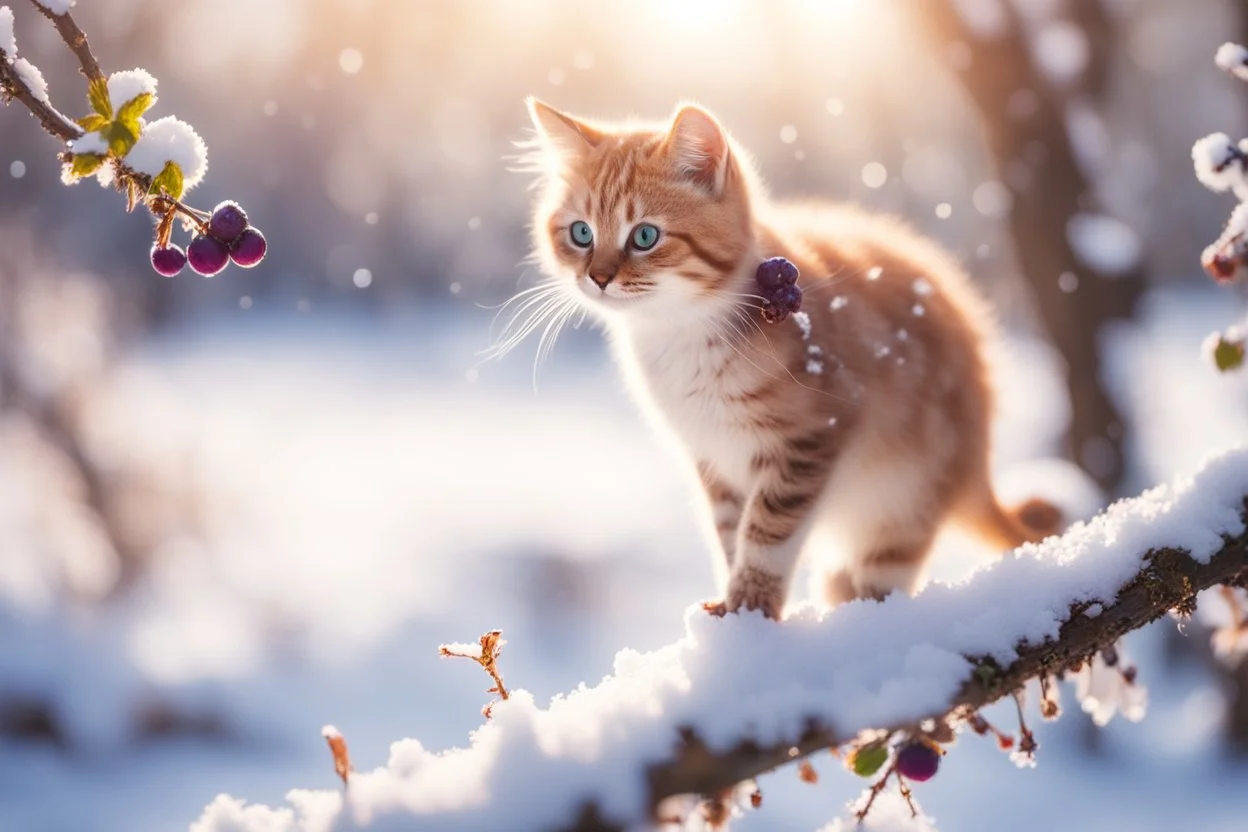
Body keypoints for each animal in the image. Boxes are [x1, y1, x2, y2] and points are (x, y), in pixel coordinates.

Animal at [514, 99, 1053, 618]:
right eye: (581, 233)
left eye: (644, 236)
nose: (598, 277)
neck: (681, 333)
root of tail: (977, 462)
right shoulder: (715, 460)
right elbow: (731, 532)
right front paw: (734, 612)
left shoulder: (813, 433)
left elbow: (766, 530)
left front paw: (752, 604)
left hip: (907, 495)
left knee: (886, 566)